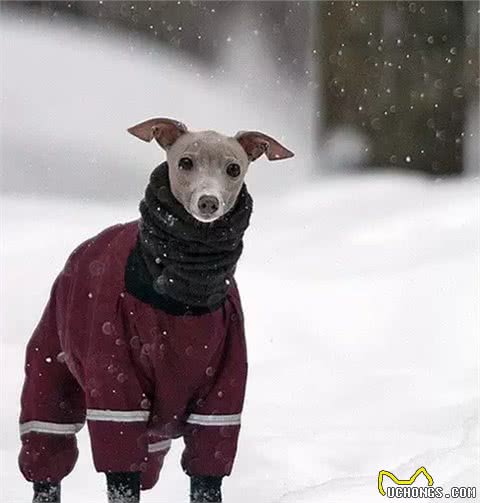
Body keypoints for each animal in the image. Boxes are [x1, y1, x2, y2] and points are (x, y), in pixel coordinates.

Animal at [18, 119, 292, 503]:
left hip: (156, 433)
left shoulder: (221, 399)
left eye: (233, 168)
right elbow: (121, 473)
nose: (208, 202)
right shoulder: (115, 392)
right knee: (47, 450)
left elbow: (208, 472)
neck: (183, 298)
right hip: (49, 376)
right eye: (185, 162)